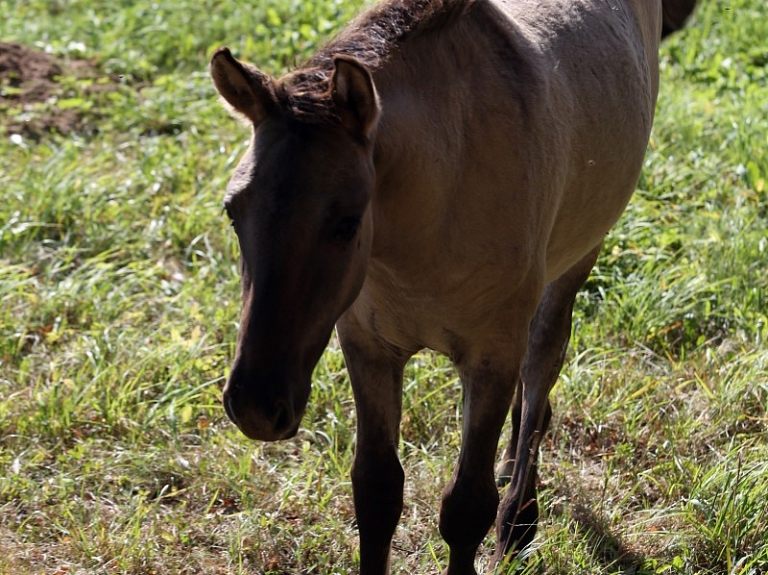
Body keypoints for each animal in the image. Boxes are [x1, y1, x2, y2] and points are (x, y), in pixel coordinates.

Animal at [210, 1, 696, 575]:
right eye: (233, 211)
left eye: (347, 222)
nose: (256, 406)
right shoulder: (369, 348)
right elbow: (376, 491)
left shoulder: (490, 358)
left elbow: (467, 507)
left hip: (578, 256)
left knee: (542, 364)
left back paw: (519, 518)